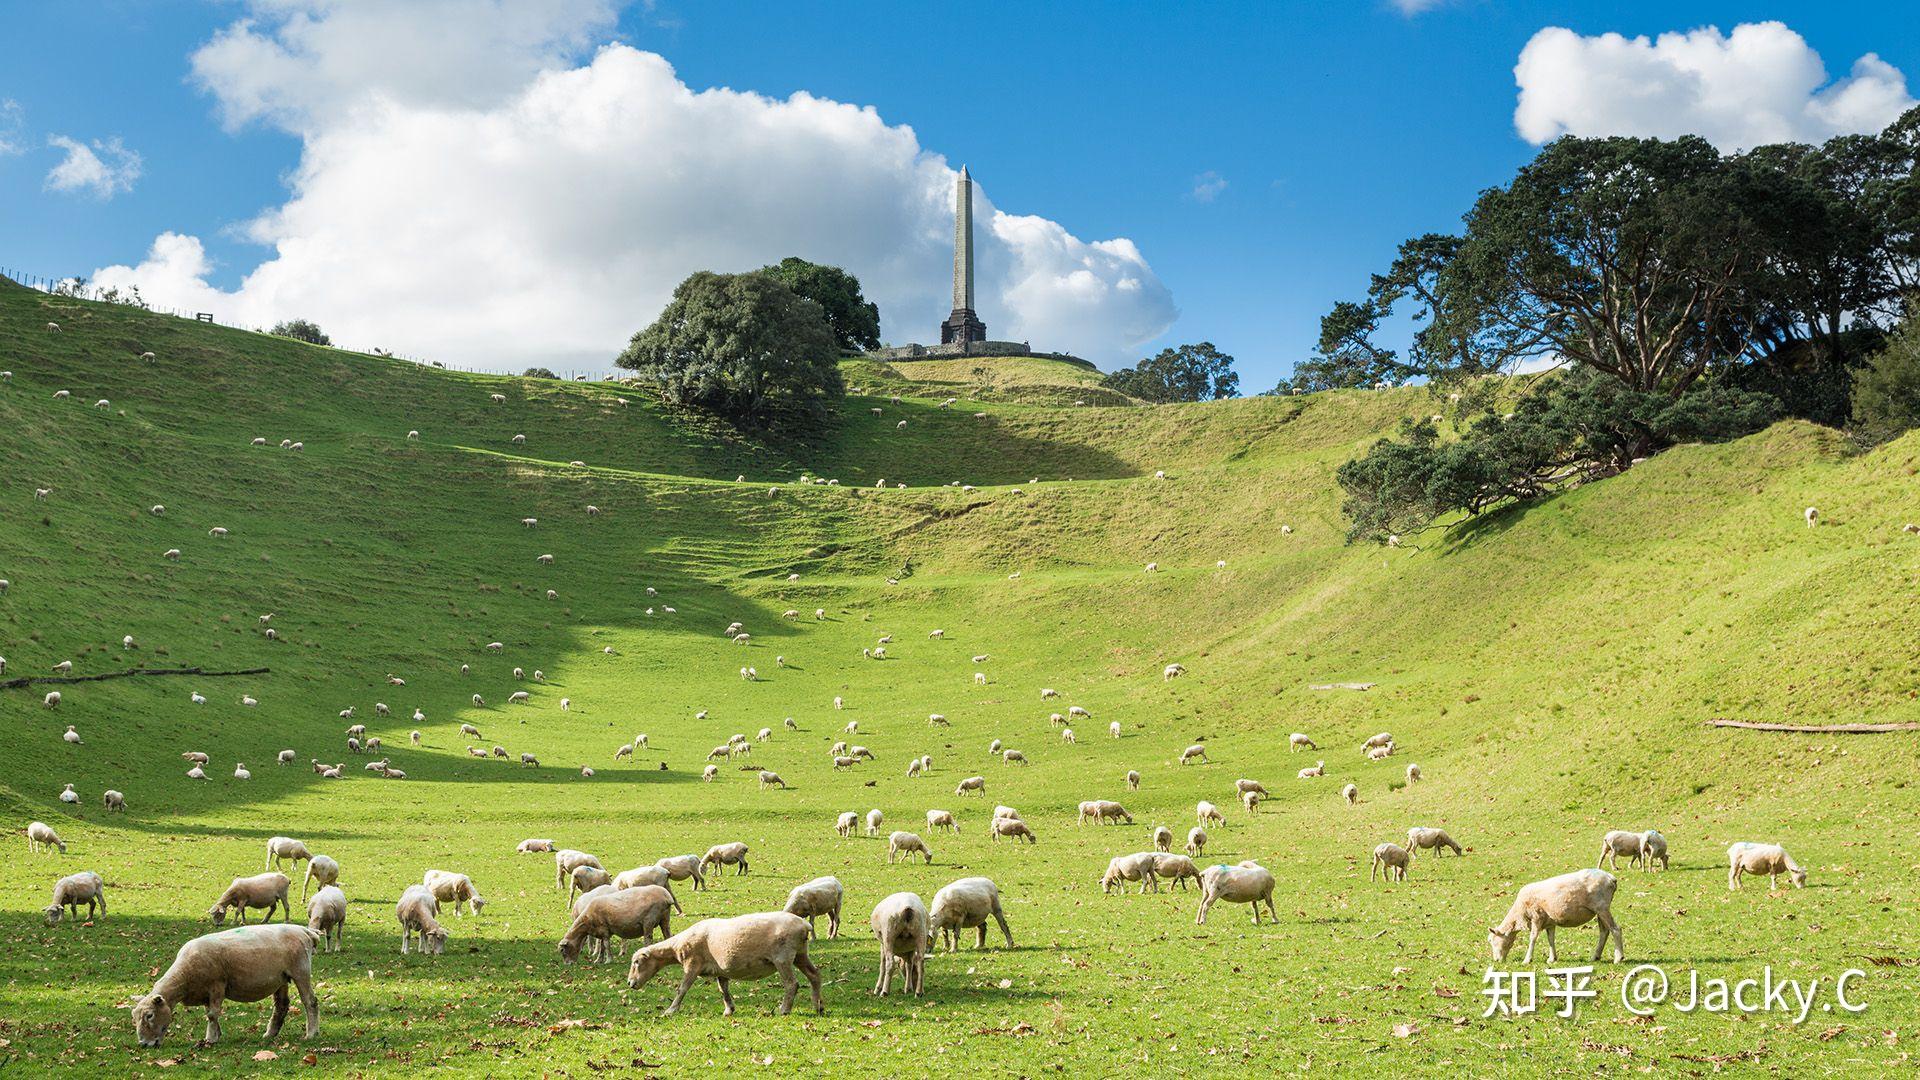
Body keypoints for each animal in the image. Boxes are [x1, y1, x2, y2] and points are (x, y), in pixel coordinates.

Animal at [131, 914, 320, 1045]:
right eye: (134, 1016)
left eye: (149, 1015)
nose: (143, 1044)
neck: (184, 976)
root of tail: (305, 931)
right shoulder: (205, 992)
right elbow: (210, 1013)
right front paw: (216, 1034)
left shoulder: (217, 985)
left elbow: (212, 1014)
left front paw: (210, 1039)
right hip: (281, 978)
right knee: (281, 1005)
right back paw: (270, 1034)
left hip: (300, 970)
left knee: (310, 1001)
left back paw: (311, 1034)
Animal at [622, 907, 817, 1006]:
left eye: (637, 962)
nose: (630, 983)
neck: (678, 946)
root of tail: (804, 925)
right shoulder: (721, 970)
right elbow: (723, 989)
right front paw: (729, 1009)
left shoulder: (692, 964)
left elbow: (682, 988)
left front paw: (670, 1010)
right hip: (800, 954)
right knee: (814, 975)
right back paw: (818, 1007)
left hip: (782, 958)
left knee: (792, 984)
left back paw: (784, 1009)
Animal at [1482, 864, 1620, 957]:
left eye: (1492, 940)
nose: (1496, 960)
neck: (1519, 913)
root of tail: (1611, 878)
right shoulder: (1549, 922)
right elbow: (1551, 939)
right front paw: (1552, 958)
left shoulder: (1537, 917)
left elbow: (1533, 938)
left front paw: (1527, 959)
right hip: (1599, 911)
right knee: (1604, 931)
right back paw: (1595, 956)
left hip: (1602, 907)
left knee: (1616, 929)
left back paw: (1618, 957)